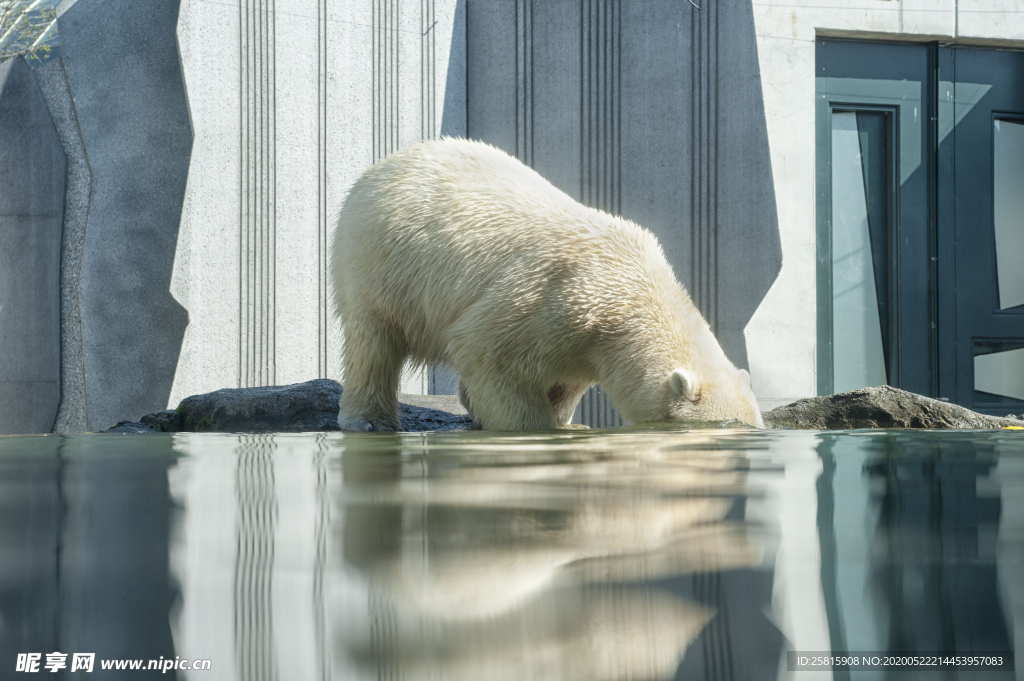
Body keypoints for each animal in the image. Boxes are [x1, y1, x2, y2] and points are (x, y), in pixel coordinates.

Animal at [331, 137, 765, 430]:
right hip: (382, 262)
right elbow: (487, 352)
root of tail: (389, 162)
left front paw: (563, 421)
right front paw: (534, 427)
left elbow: (565, 380)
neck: (631, 293)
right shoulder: (554, 297)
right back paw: (370, 419)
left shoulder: (585, 341)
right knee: (373, 340)